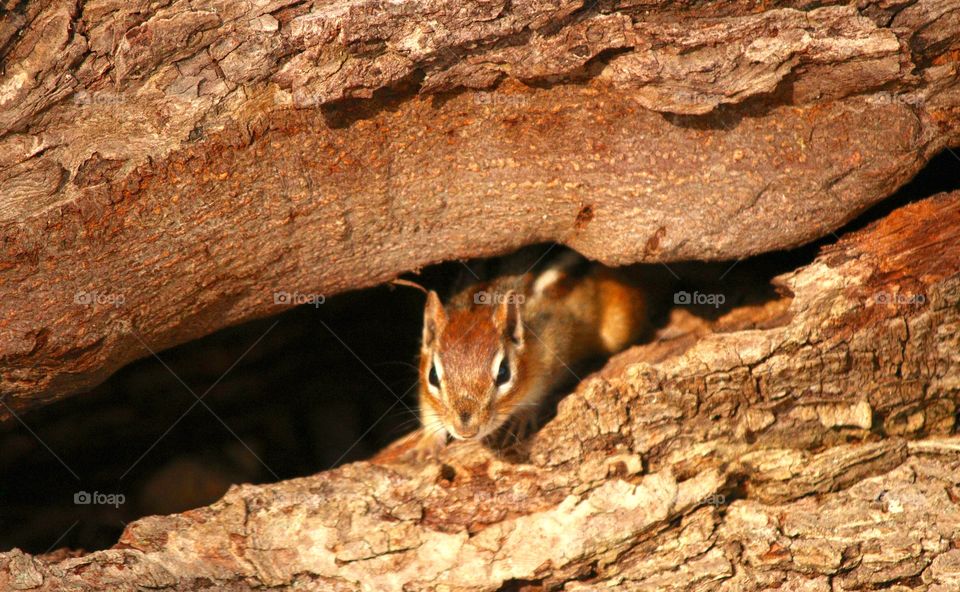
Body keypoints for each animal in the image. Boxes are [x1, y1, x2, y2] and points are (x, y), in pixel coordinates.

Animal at [410, 247, 648, 459]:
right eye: (432, 376)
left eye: (504, 374)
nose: (466, 431)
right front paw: (428, 440)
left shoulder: (551, 352)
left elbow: (539, 391)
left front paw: (521, 417)